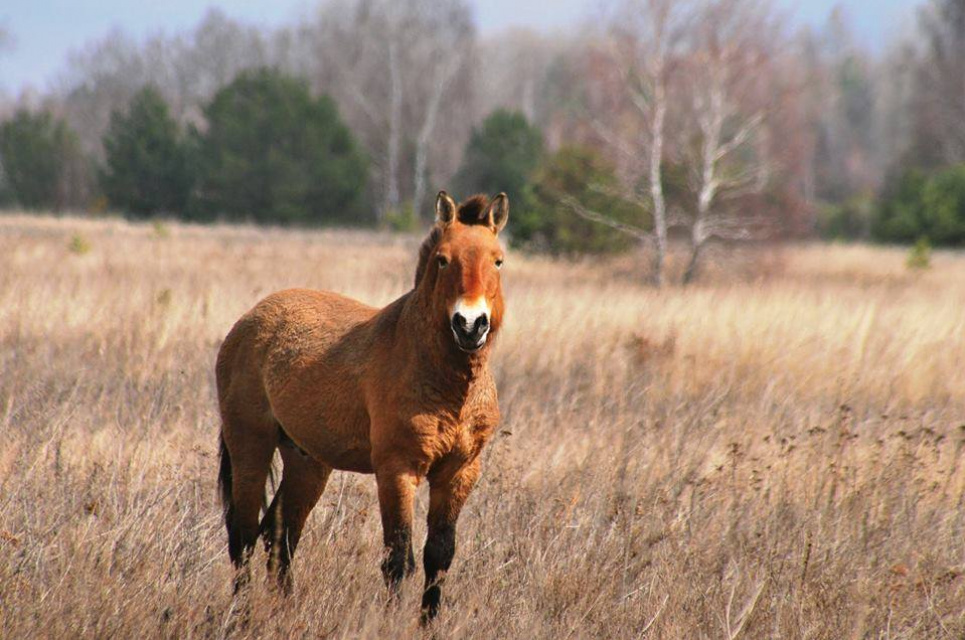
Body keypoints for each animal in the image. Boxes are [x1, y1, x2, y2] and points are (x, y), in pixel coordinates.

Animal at [214, 190, 508, 620]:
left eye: (498, 260)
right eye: (443, 259)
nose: (470, 324)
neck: (448, 388)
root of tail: (247, 322)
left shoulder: (458, 473)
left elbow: (439, 556)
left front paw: (427, 623)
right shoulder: (397, 471)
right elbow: (398, 557)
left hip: (307, 462)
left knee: (279, 535)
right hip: (250, 446)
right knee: (245, 534)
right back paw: (242, 616)